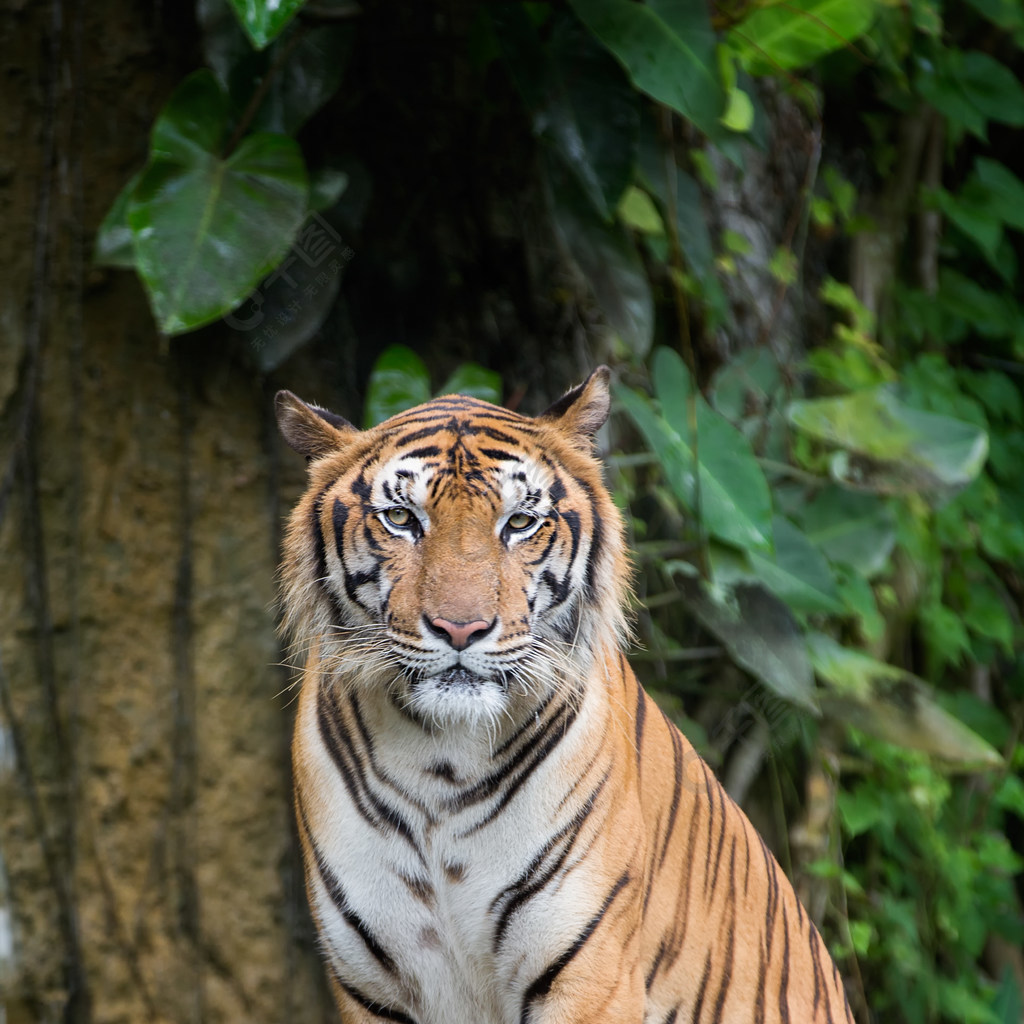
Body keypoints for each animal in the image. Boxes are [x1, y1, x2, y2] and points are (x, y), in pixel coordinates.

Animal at [274, 370, 856, 1024]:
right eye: (401, 518)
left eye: (519, 523)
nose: (460, 629)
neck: (439, 756)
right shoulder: (371, 985)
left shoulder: (587, 973)